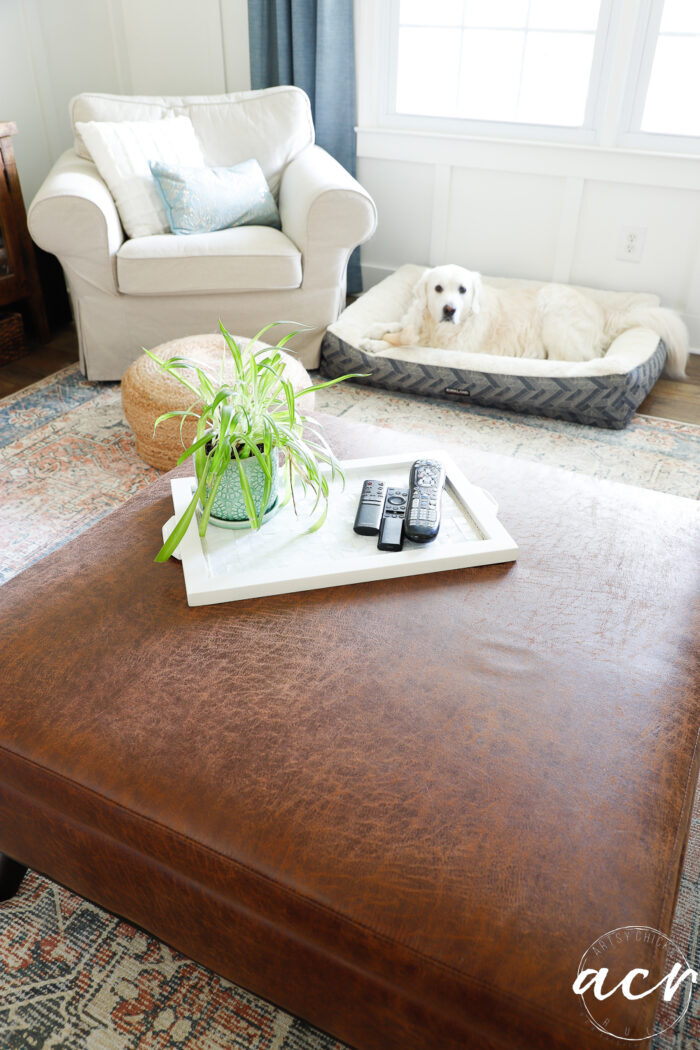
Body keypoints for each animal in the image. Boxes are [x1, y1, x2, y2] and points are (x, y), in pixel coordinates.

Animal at [361, 264, 688, 380]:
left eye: (463, 290)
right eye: (438, 288)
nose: (449, 310)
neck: (435, 326)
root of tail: (603, 317)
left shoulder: (445, 348)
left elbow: (401, 344)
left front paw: (375, 345)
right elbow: (396, 326)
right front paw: (375, 329)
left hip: (554, 314)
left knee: (567, 361)